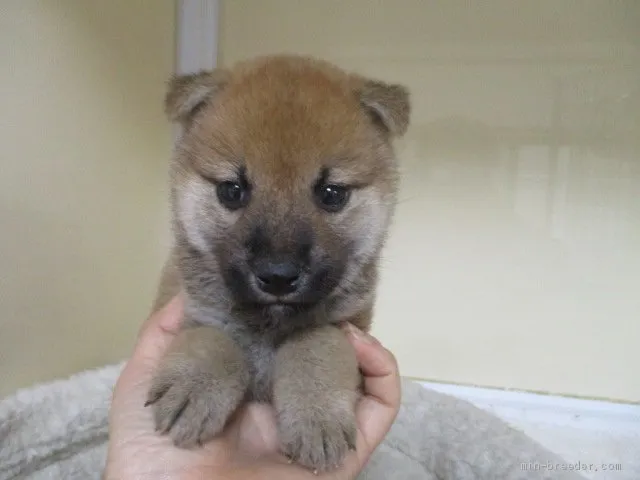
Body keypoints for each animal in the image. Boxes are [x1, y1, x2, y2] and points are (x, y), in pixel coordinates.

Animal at [146, 54, 410, 470]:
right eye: (232, 190)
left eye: (332, 193)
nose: (278, 276)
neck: (268, 325)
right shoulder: (193, 310)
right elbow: (211, 338)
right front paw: (195, 385)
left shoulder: (349, 328)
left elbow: (318, 343)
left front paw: (317, 416)